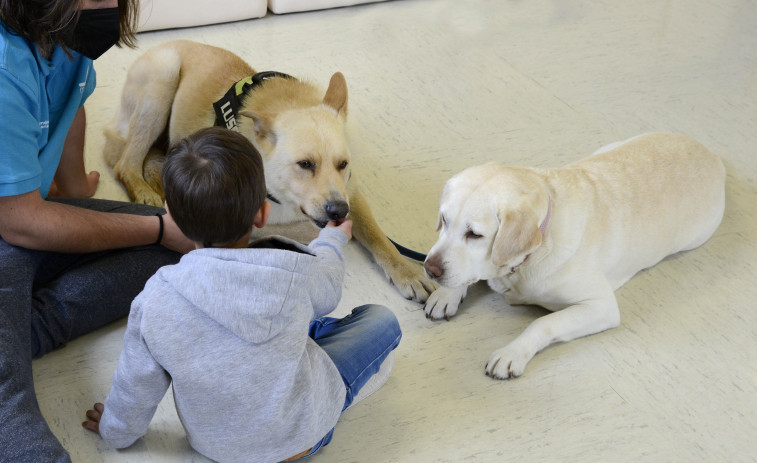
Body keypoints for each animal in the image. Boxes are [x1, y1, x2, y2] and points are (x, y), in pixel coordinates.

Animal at [105, 39, 434, 300]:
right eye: (305, 164)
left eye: (343, 164)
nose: (338, 211)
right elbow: (303, 229)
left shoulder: (350, 191)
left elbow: (378, 236)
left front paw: (407, 272)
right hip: (163, 78)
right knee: (124, 164)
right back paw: (143, 189)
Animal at [422, 132, 724, 378]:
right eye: (444, 220)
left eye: (474, 234)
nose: (430, 269)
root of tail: (712, 154)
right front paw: (447, 295)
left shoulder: (601, 306)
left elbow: (544, 323)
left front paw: (511, 353)